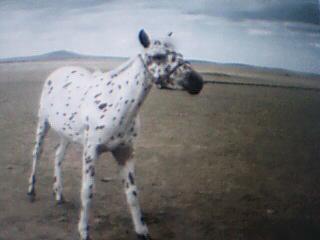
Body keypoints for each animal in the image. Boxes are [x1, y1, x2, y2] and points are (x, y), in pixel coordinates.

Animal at [26, 30, 202, 240]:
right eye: (157, 56)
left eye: (180, 54)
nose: (197, 82)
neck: (115, 102)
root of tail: (57, 72)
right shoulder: (90, 152)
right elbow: (87, 192)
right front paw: (83, 230)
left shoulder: (124, 151)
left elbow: (132, 192)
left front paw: (142, 230)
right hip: (43, 124)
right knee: (37, 153)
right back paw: (31, 191)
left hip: (66, 133)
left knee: (58, 156)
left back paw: (59, 194)